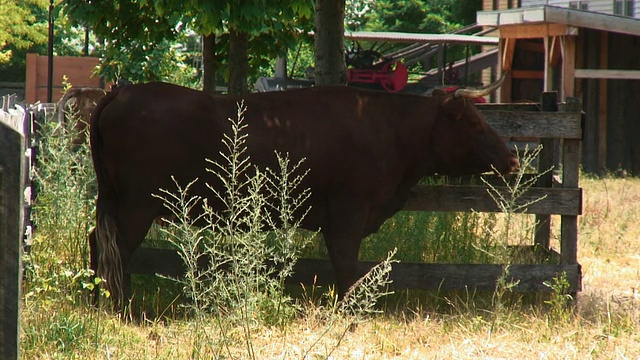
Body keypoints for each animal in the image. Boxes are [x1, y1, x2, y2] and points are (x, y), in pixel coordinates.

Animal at [90, 80, 516, 302]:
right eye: (475, 124)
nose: (512, 158)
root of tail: (123, 91)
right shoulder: (347, 212)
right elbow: (346, 265)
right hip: (137, 206)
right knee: (117, 250)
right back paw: (123, 306)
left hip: (111, 199)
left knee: (98, 243)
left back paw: (98, 299)